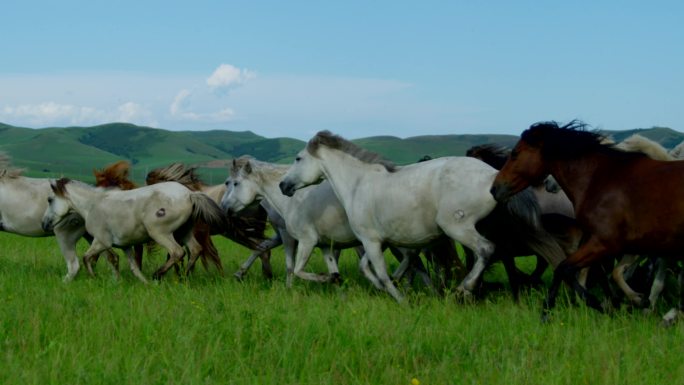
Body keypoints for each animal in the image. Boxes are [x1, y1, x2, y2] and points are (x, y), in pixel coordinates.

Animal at [41, 178, 226, 282]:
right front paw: (140, 283)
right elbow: (133, 267)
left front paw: (94, 278)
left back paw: (158, 274)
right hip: (184, 231)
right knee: (195, 250)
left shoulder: (101, 241)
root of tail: (189, 194)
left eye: (50, 200)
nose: (44, 224)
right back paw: (184, 277)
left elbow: (87, 258)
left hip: (160, 233)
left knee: (177, 252)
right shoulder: (126, 246)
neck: (93, 205)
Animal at [492, 121, 684, 324]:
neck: (600, 181)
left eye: (515, 153)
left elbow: (565, 269)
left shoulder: (604, 243)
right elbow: (590, 272)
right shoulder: (613, 245)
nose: (494, 188)